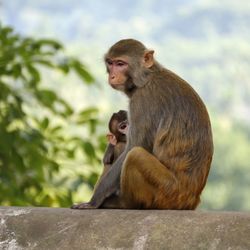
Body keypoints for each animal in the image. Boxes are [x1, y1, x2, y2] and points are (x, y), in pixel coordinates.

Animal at [71, 39, 214, 210]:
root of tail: (192, 200)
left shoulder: (142, 100)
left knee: (135, 155)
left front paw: (94, 200)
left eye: (121, 64)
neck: (147, 77)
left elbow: (134, 146)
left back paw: (123, 203)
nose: (112, 76)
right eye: (110, 63)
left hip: (167, 193)